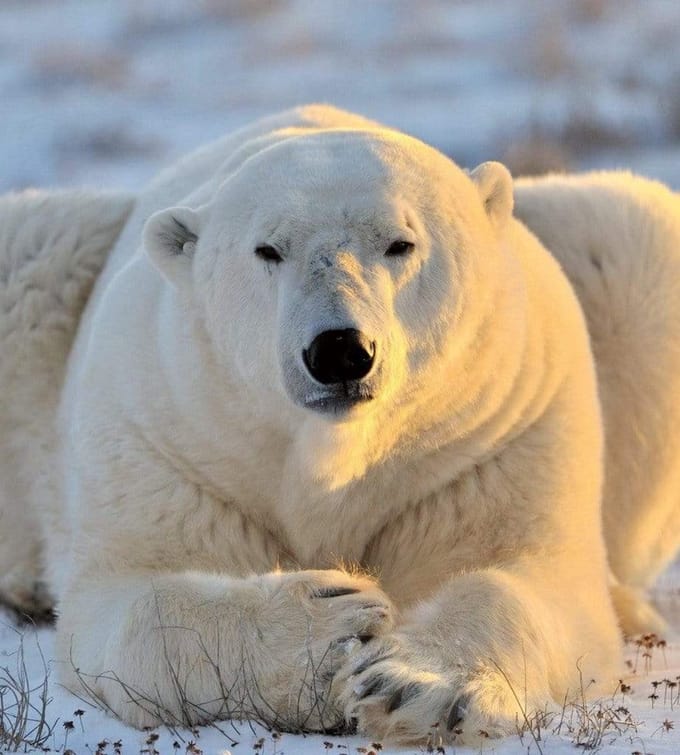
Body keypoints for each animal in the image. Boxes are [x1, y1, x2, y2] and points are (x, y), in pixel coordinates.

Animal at [0, 105, 677, 746]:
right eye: (267, 250)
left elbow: (526, 573)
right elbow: (131, 597)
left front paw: (414, 687)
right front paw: (331, 627)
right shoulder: (167, 431)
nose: (340, 351)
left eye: (400, 243)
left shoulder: (499, 432)